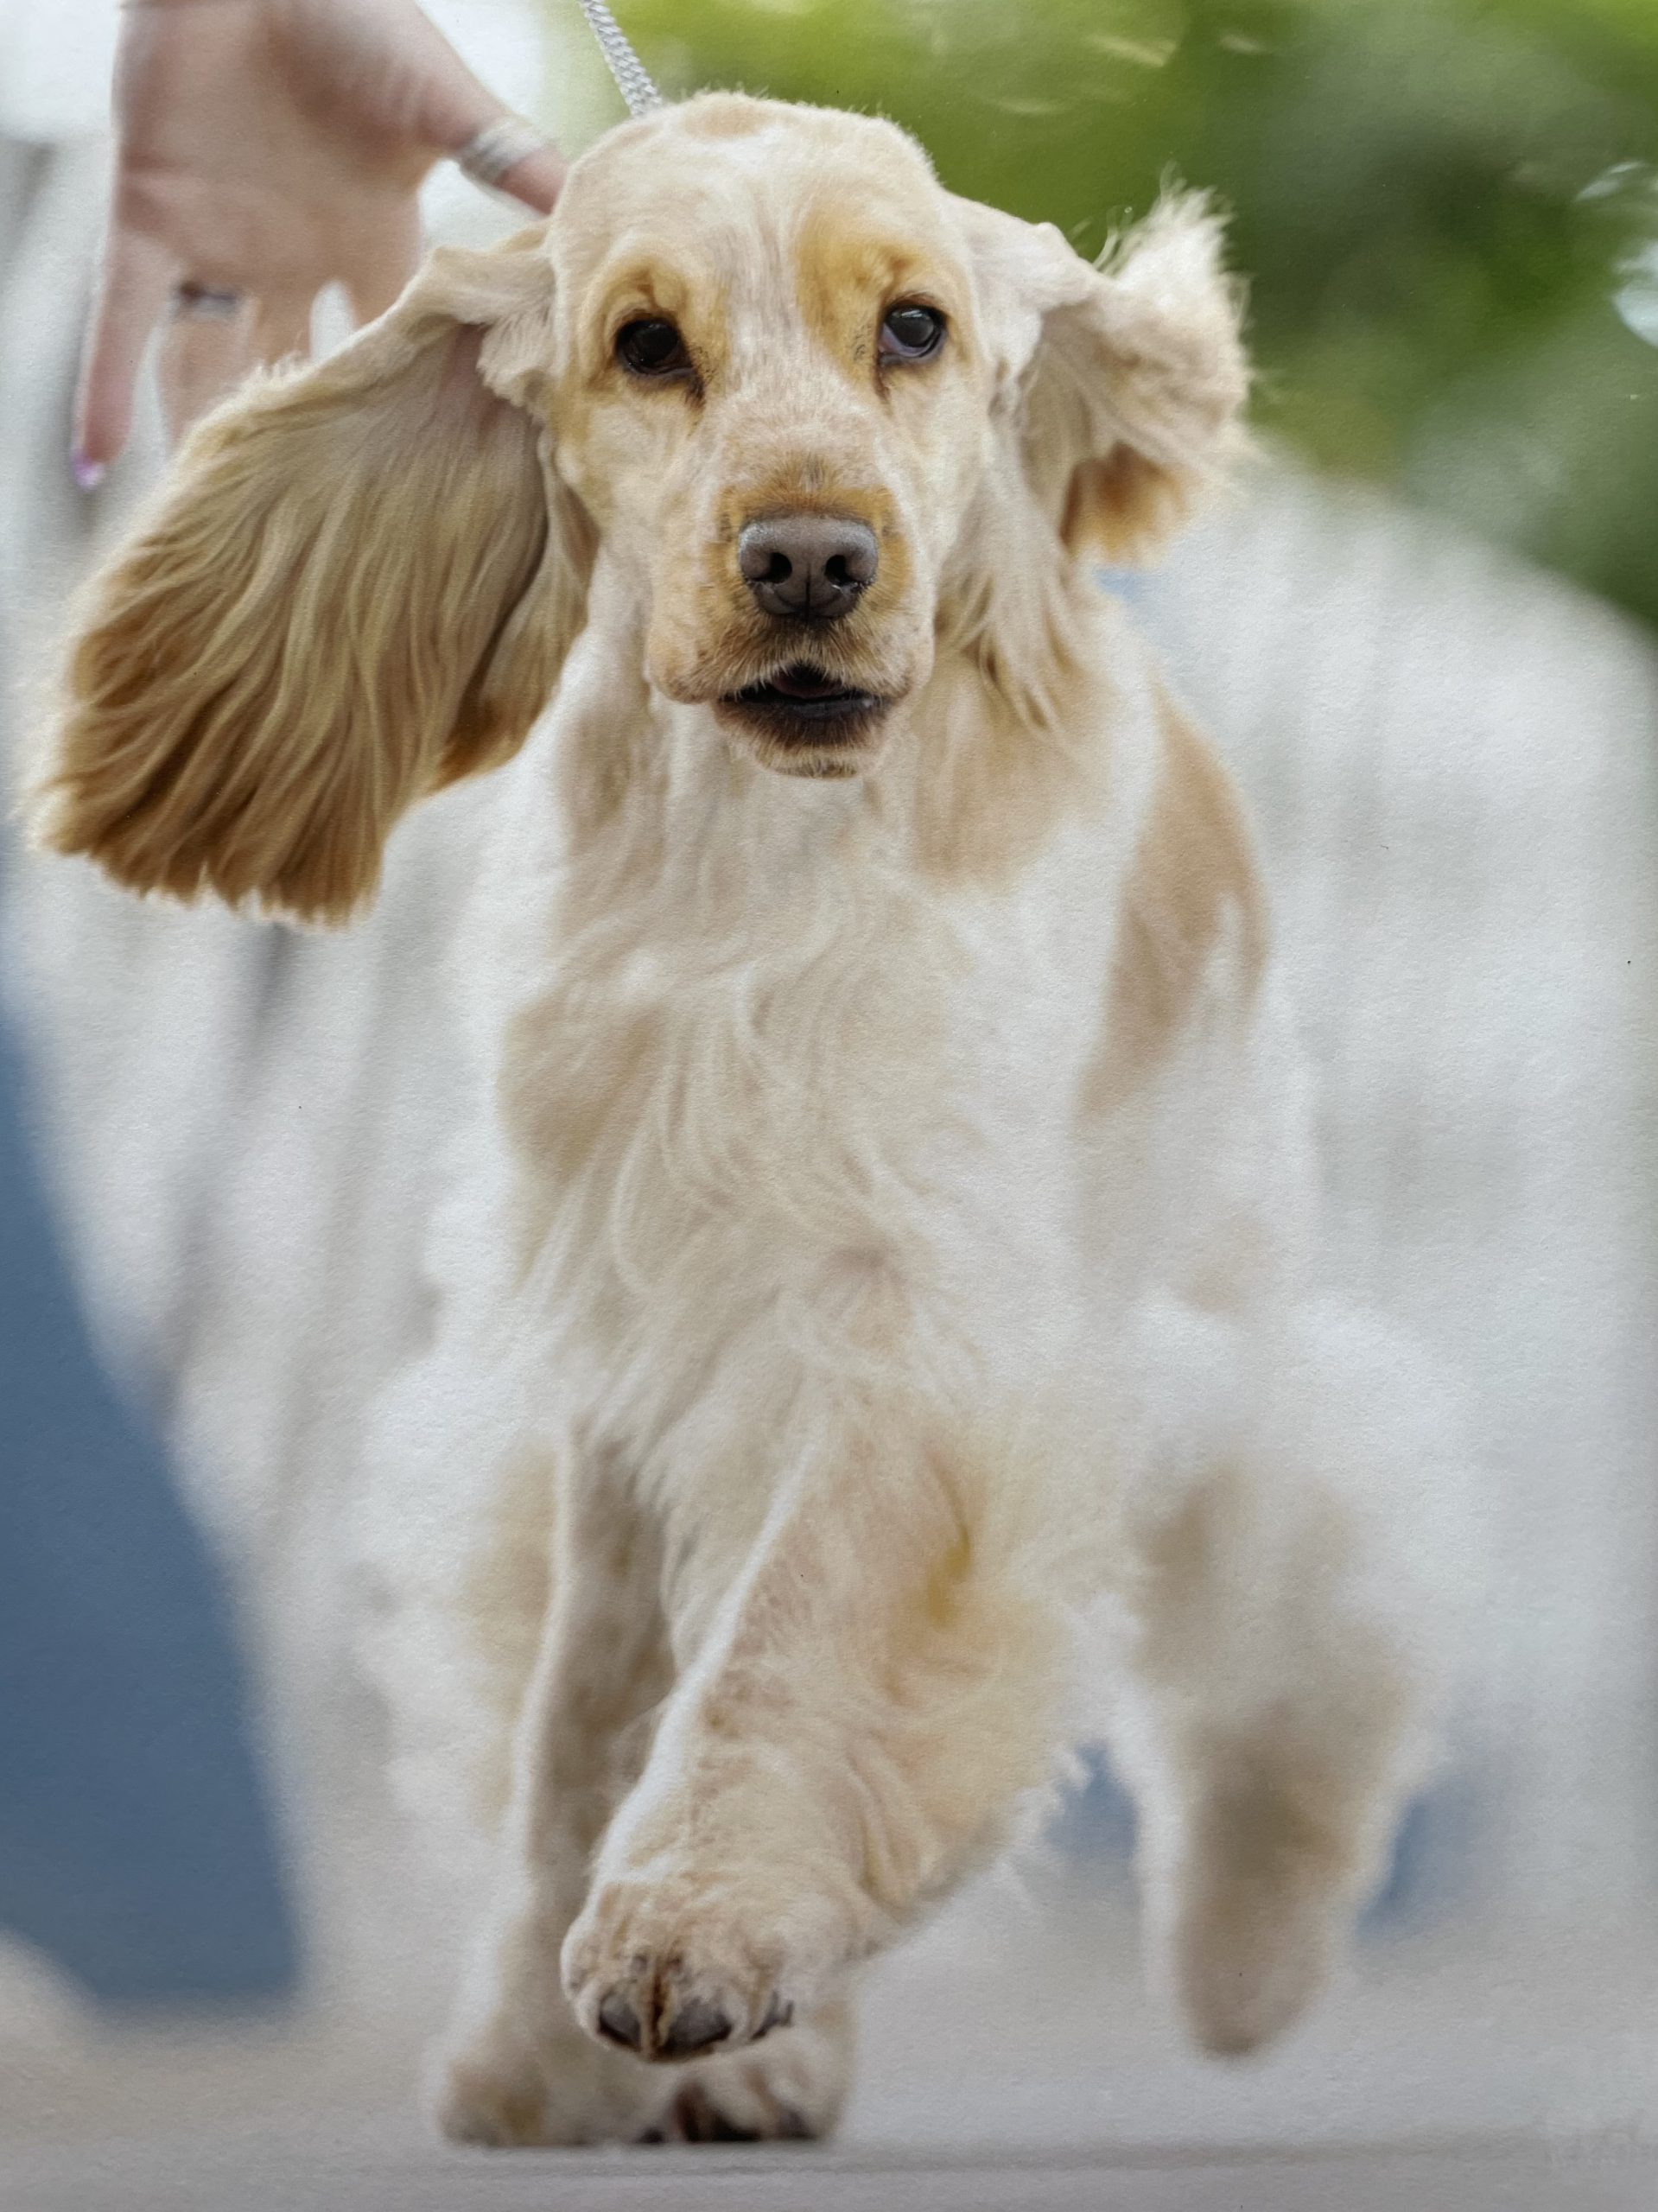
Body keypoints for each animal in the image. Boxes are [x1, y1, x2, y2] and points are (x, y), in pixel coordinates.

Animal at [32, 93, 1461, 2146]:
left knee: (1312, 1587)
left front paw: (686, 1931)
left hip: (1217, 1323)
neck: (750, 850)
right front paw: (535, 2055)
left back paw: (1242, 1958)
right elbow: (584, 1725)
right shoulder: (624, 1363)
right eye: (644, 344)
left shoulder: (915, 1331)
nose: (808, 560)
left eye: (916, 327)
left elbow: (788, 1645)